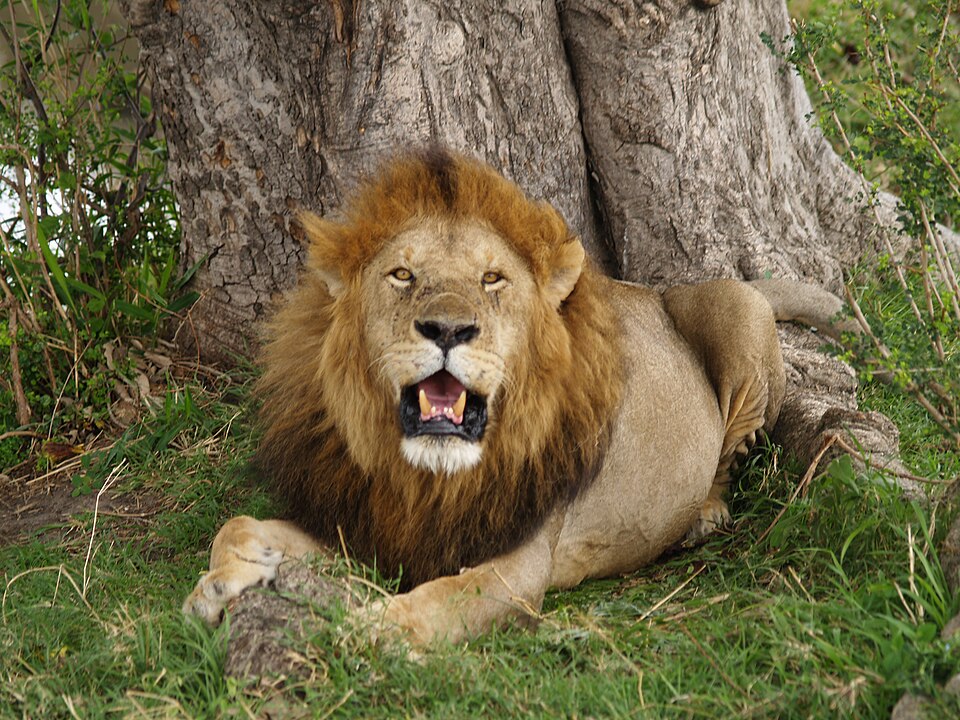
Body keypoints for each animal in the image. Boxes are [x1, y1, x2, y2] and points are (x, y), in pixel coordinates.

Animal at [183, 148, 850, 645]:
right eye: (402, 274)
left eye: (491, 279)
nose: (447, 329)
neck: (429, 479)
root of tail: (662, 291)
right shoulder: (367, 526)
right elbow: (238, 523)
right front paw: (219, 584)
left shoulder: (519, 567)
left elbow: (443, 599)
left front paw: (369, 629)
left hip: (739, 312)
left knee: (730, 452)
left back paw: (704, 515)